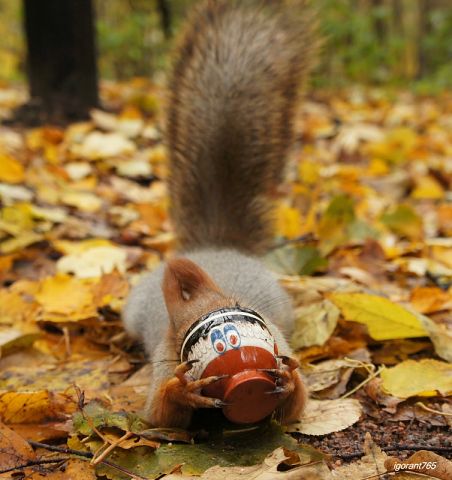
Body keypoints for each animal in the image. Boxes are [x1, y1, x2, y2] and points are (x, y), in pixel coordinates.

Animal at [122, 0, 318, 428]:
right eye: (180, 332)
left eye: (246, 313)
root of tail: (213, 247)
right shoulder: (164, 363)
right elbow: (160, 414)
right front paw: (183, 390)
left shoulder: (279, 337)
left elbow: (296, 408)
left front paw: (287, 381)